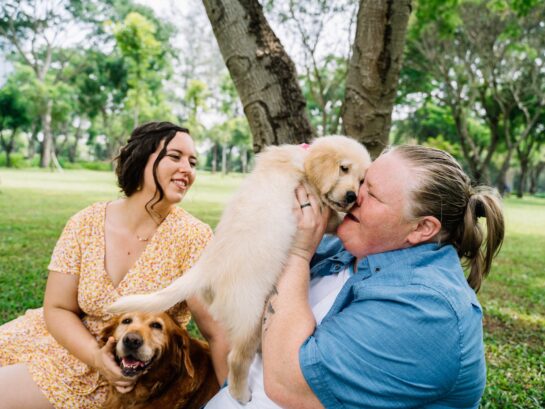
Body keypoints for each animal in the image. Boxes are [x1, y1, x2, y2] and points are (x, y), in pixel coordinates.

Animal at [109, 136, 374, 402]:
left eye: (363, 180)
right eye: (343, 168)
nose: (352, 196)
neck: (303, 163)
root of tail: (207, 267)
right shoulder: (316, 203)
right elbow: (335, 218)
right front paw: (346, 222)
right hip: (250, 315)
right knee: (236, 359)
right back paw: (241, 395)